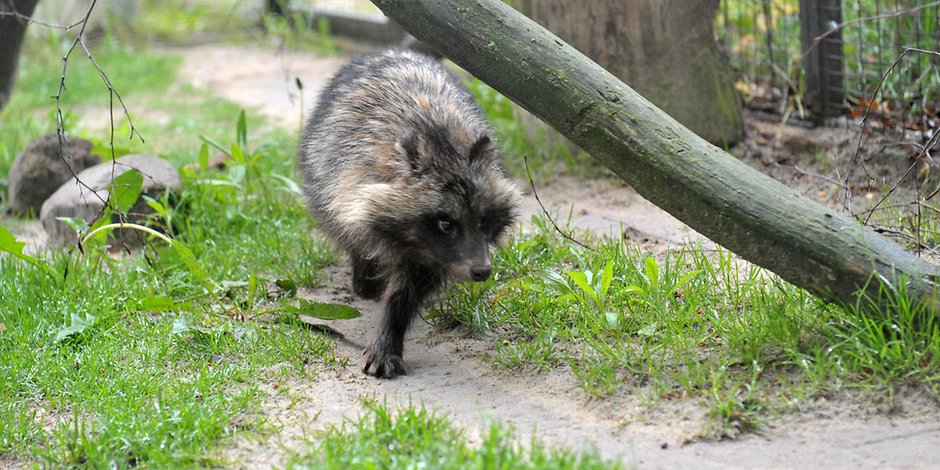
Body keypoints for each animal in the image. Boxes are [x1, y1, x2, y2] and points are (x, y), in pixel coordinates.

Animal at [298, 49, 520, 378]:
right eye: (445, 223)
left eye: (484, 221)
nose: (482, 271)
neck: (439, 137)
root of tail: (393, 50)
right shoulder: (343, 187)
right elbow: (355, 232)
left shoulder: (434, 253)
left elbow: (408, 289)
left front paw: (390, 333)